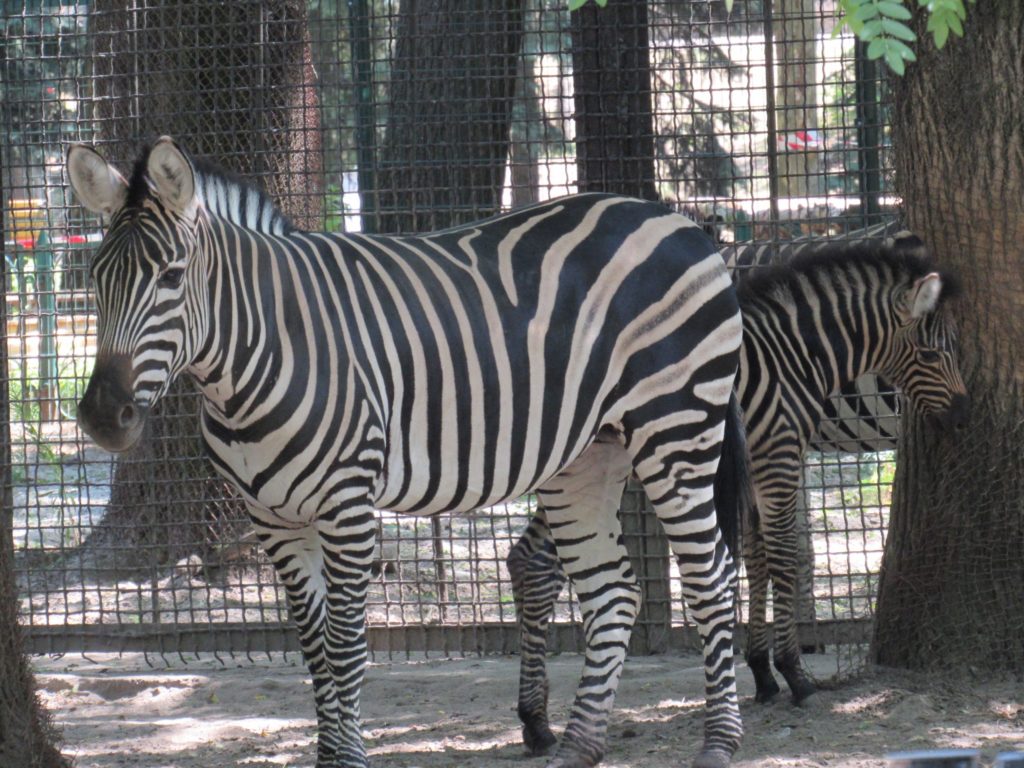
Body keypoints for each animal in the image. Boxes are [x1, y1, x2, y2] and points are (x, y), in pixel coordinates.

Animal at [68, 138, 749, 768]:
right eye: (94, 278)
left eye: (171, 277)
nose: (102, 415)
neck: (260, 354)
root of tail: (676, 220)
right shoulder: (275, 520)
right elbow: (312, 646)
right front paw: (328, 754)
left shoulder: (347, 506)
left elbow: (345, 646)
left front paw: (347, 760)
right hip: (586, 455)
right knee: (613, 592)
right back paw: (578, 746)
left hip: (677, 429)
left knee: (710, 577)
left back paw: (718, 742)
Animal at [509, 236, 966, 757]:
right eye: (933, 354)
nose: (964, 416)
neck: (794, 350)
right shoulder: (779, 450)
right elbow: (785, 556)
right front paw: (793, 673)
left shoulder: (756, 465)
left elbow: (757, 558)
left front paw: (763, 672)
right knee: (540, 563)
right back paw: (542, 717)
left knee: (529, 560)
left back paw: (537, 721)